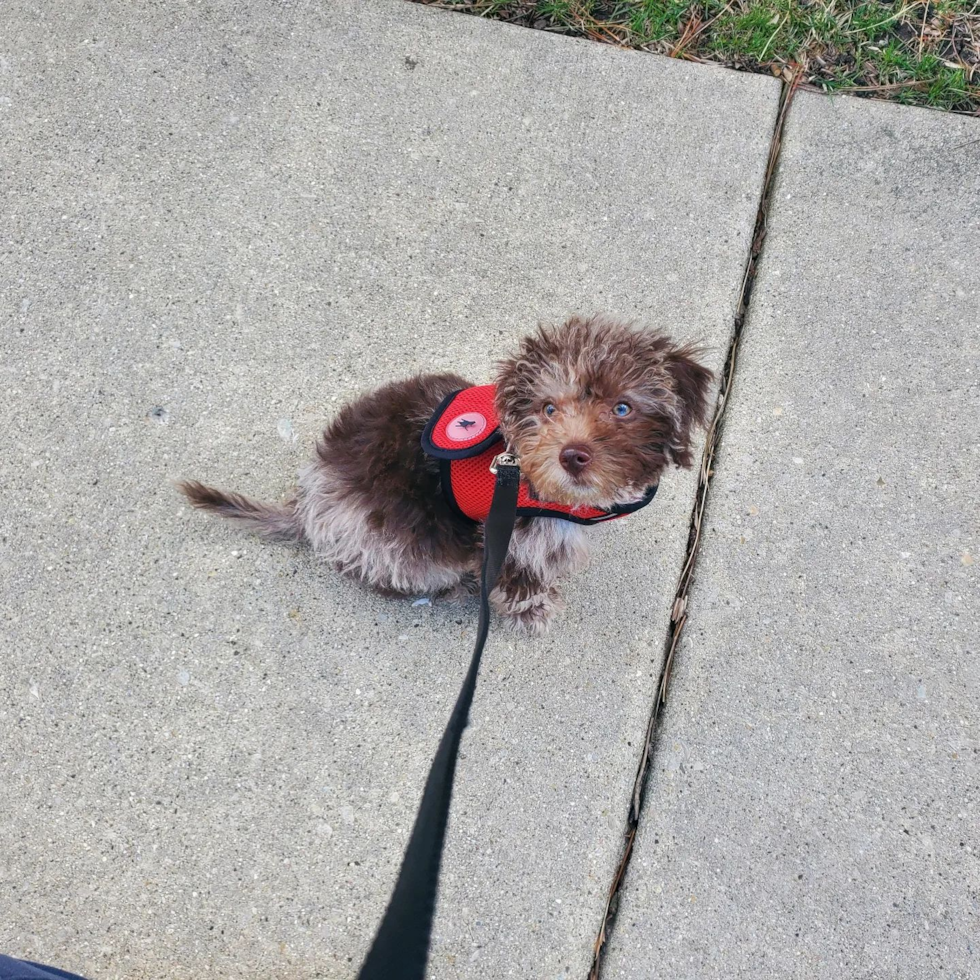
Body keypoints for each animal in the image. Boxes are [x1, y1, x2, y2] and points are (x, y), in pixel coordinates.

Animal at [178, 316, 712, 636]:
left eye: (623, 408)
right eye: (548, 408)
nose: (572, 455)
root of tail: (311, 492)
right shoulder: (512, 535)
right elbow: (522, 576)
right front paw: (532, 609)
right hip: (404, 542)